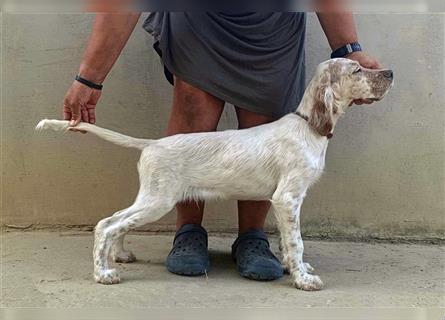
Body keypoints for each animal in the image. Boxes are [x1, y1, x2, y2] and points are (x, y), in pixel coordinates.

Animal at [37, 57, 392, 290]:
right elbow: (297, 241)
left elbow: (288, 241)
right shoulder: (288, 198)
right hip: (158, 200)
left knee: (115, 222)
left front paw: (295, 268)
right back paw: (103, 273)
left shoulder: (284, 202)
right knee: (106, 224)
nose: (390, 72)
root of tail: (153, 143)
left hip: (151, 198)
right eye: (357, 70)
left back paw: (119, 255)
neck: (309, 126)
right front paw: (303, 280)